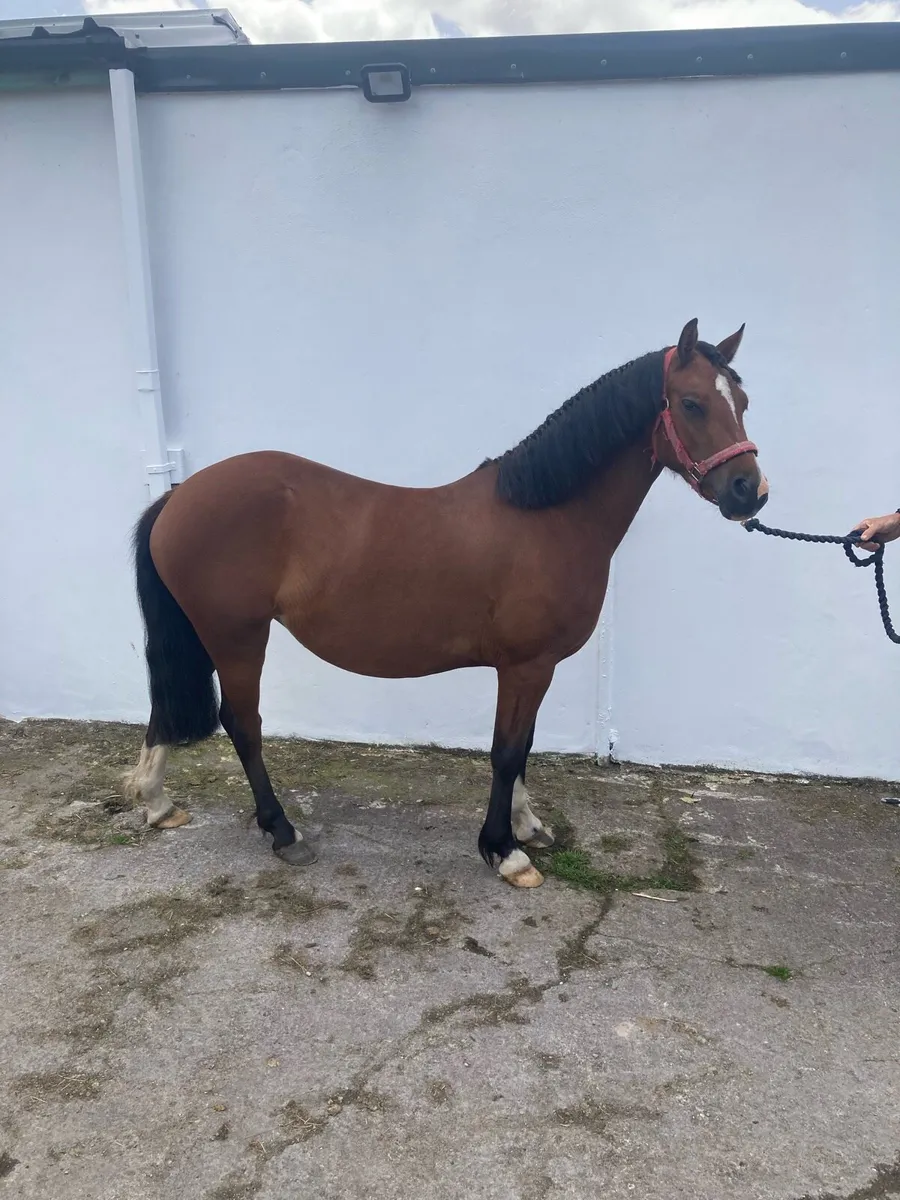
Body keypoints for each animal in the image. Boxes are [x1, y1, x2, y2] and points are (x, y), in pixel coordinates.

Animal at [123, 317, 767, 889]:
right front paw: (504, 852)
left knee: (167, 707)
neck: (548, 517)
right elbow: (506, 751)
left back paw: (157, 803)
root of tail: (180, 496)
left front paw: (526, 826)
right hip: (237, 636)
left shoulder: (536, 667)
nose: (750, 492)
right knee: (244, 723)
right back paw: (283, 832)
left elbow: (524, 745)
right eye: (691, 403)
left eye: (742, 400)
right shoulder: (525, 665)